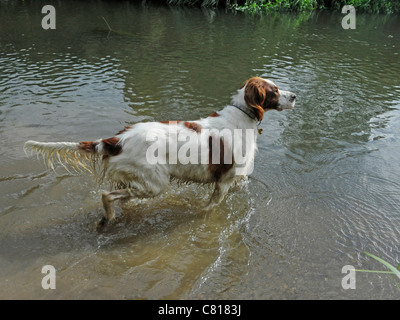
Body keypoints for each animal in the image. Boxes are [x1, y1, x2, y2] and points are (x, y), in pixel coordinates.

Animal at [24, 78, 294, 226]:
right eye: (274, 90)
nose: (294, 96)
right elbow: (209, 208)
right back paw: (107, 218)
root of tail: (116, 139)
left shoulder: (234, 180)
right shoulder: (224, 181)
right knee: (107, 195)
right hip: (155, 183)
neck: (241, 116)